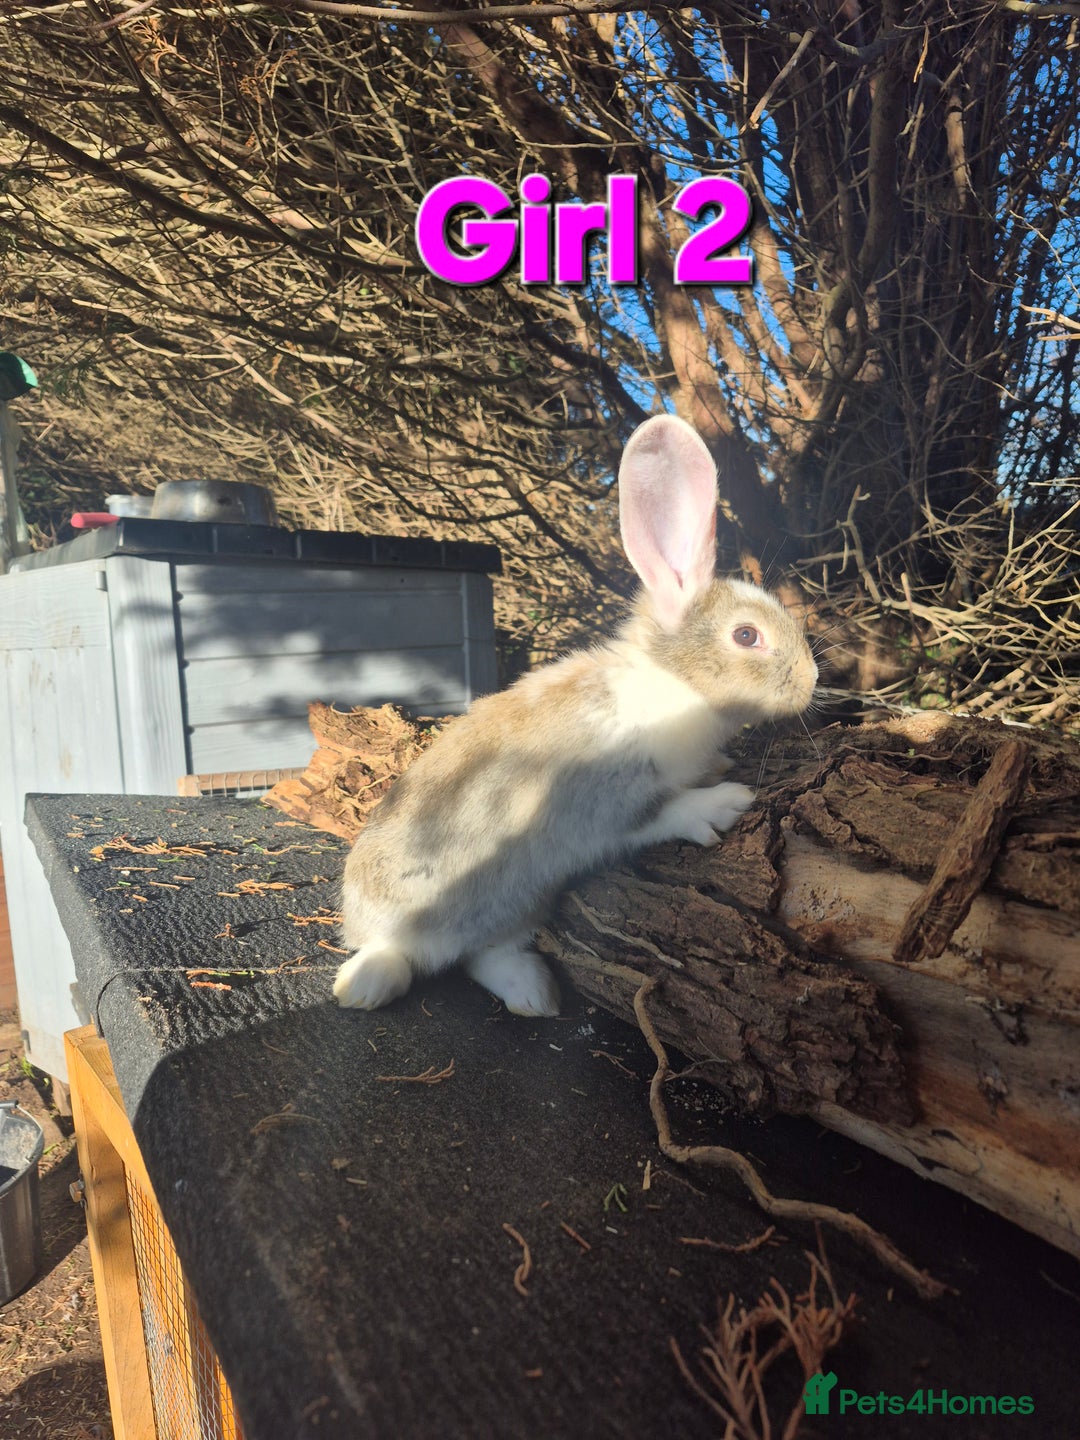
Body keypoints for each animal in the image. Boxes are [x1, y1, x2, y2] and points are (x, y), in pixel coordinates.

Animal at [334, 413, 818, 1018]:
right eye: (747, 636)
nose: (812, 680)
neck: (673, 686)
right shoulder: (602, 801)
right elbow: (656, 815)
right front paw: (722, 802)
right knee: (399, 953)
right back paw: (362, 987)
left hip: (522, 904)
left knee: (485, 955)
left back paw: (535, 996)